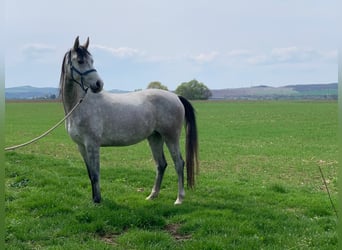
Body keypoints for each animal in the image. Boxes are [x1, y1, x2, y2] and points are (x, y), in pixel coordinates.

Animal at [58, 37, 198, 205]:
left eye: (91, 60)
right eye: (80, 60)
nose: (99, 84)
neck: (80, 106)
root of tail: (176, 96)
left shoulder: (92, 145)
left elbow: (96, 174)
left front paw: (98, 200)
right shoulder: (81, 146)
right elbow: (90, 174)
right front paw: (94, 199)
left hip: (171, 137)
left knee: (179, 163)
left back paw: (179, 199)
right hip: (155, 137)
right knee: (161, 164)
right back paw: (152, 195)